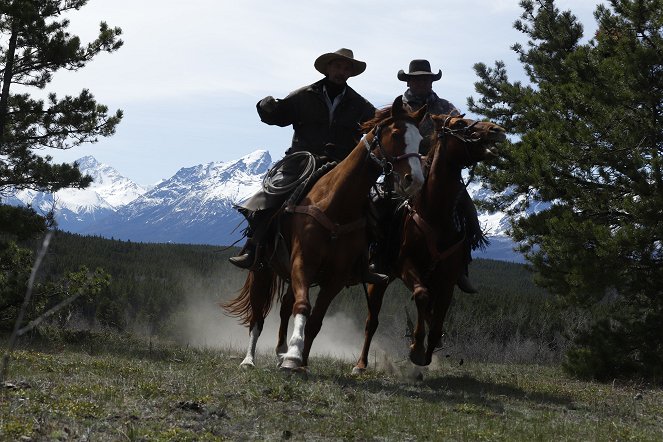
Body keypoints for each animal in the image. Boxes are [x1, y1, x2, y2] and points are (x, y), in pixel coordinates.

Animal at [226, 97, 428, 372]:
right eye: (396, 134)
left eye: (421, 140)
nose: (414, 180)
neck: (335, 204)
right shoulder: (303, 263)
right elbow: (303, 306)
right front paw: (293, 357)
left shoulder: (336, 278)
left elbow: (315, 321)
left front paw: (300, 362)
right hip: (262, 268)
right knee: (259, 313)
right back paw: (249, 359)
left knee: (285, 306)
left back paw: (280, 350)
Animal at [352, 112, 504, 372]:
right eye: (460, 124)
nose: (497, 130)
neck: (436, 214)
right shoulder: (408, 267)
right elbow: (422, 297)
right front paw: (416, 348)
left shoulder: (447, 279)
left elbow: (437, 316)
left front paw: (429, 347)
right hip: (381, 278)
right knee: (372, 321)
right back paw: (361, 364)